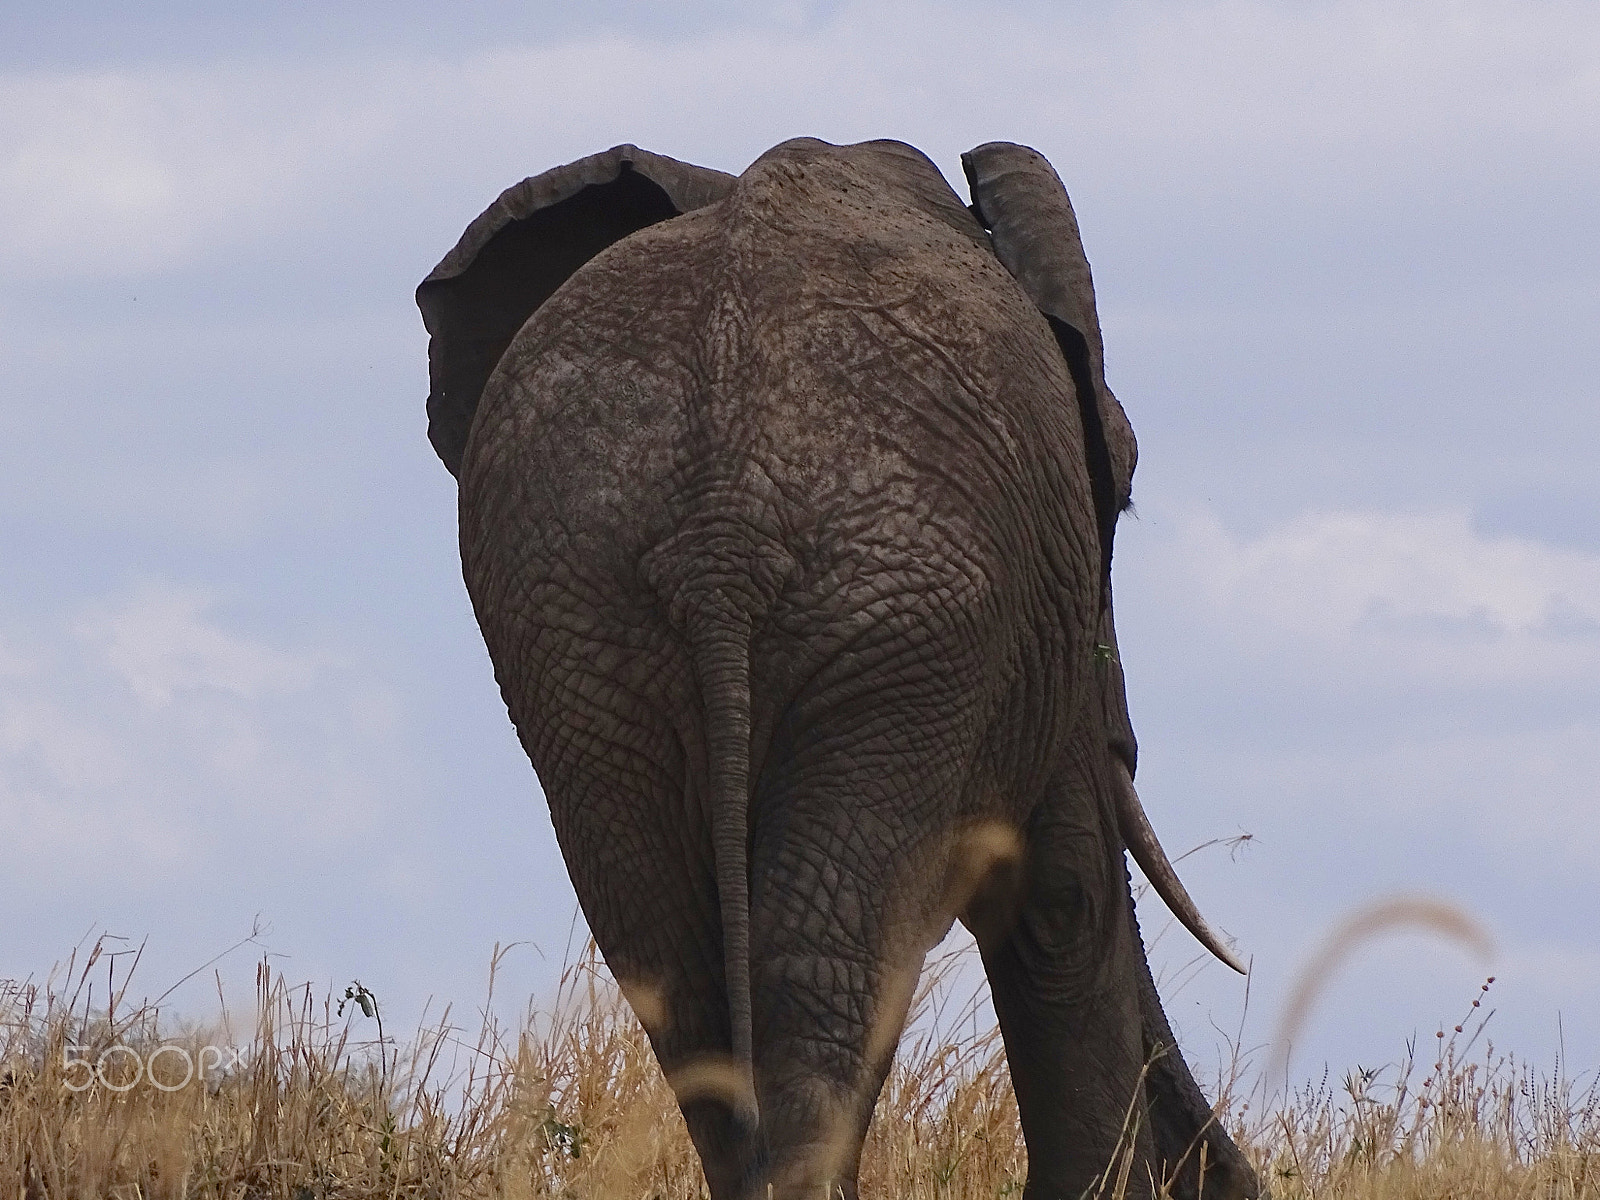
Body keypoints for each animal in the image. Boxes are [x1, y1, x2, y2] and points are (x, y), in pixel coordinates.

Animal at [422, 136, 1260, 1200]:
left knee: (683, 978)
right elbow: (1061, 898)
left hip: (584, 631)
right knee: (833, 966)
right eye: (1127, 476)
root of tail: (720, 529)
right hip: (901, 616)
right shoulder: (1037, 617)